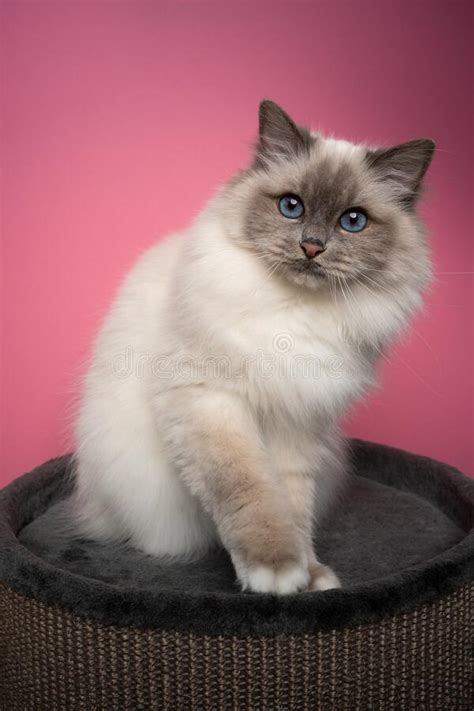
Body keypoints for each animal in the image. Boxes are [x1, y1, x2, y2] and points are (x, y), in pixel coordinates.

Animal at [73, 101, 434, 596]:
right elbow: (249, 492)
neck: (296, 312)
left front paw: (310, 576)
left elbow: (292, 508)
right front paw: (275, 571)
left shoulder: (296, 421)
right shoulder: (210, 401)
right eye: (291, 206)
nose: (311, 247)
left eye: (353, 221)